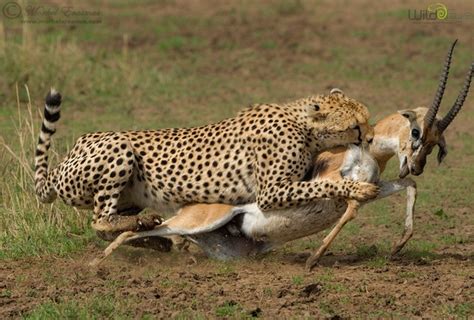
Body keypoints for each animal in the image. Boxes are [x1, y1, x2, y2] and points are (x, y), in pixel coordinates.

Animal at [34, 89, 378, 234]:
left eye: (368, 119)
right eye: (356, 126)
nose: (372, 139)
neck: (302, 124)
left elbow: (318, 182)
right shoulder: (270, 192)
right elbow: (321, 186)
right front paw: (357, 189)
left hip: (128, 195)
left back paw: (140, 222)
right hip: (117, 146)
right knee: (99, 219)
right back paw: (135, 224)